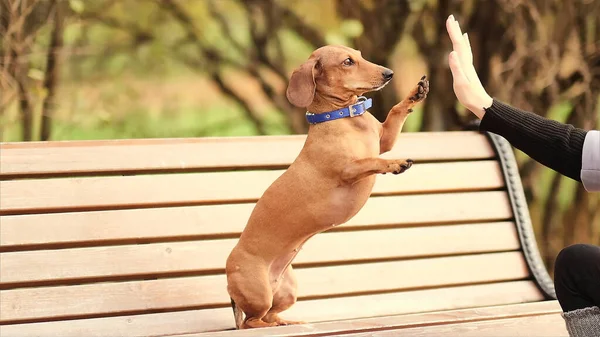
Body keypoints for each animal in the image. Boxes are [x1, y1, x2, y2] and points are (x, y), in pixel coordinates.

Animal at [225, 44, 426, 328]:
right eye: (347, 62)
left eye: (359, 54)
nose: (389, 73)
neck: (344, 117)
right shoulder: (349, 169)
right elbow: (373, 160)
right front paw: (395, 163)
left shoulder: (385, 138)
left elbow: (396, 113)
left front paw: (415, 94)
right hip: (259, 293)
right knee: (251, 322)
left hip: (287, 291)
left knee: (270, 314)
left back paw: (290, 323)